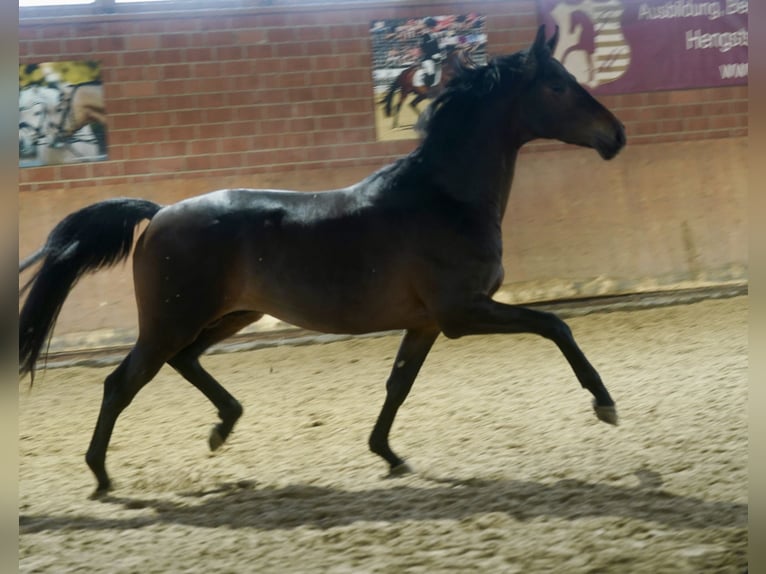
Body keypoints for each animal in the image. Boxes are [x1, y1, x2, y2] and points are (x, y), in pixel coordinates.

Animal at [18, 25, 628, 500]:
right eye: (558, 84)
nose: (616, 135)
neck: (443, 197)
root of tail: (160, 210)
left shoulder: (427, 323)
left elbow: (398, 384)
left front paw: (388, 455)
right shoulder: (463, 312)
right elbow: (555, 324)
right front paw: (605, 403)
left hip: (228, 316)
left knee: (183, 362)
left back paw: (223, 426)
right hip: (171, 321)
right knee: (121, 383)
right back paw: (102, 476)